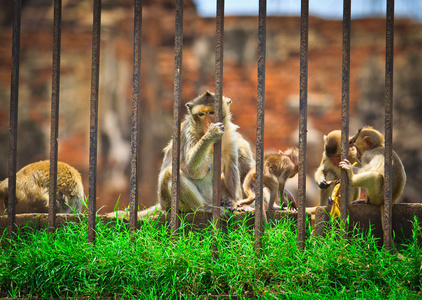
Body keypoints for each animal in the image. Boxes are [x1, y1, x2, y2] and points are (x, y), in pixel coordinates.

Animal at [138, 89, 252, 218]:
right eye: (201, 114)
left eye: (212, 112)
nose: (207, 125)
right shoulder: (188, 134)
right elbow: (190, 168)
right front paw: (211, 134)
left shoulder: (229, 136)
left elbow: (230, 168)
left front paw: (238, 203)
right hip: (171, 202)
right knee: (170, 173)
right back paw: (206, 208)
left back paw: (226, 203)